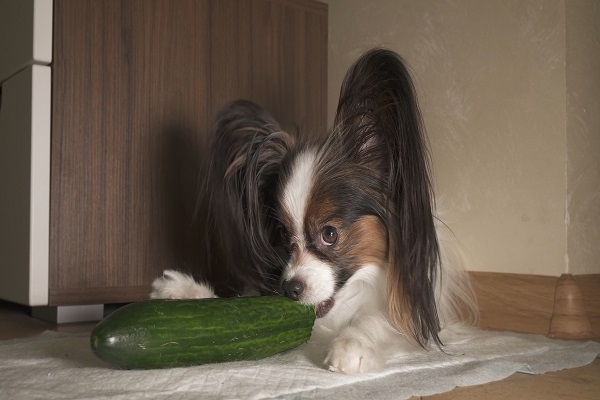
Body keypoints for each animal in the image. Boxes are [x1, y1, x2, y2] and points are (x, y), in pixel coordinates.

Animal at [151, 49, 478, 372]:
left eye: (329, 234)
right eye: (283, 236)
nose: (290, 289)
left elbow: (379, 319)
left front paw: (352, 343)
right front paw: (187, 292)